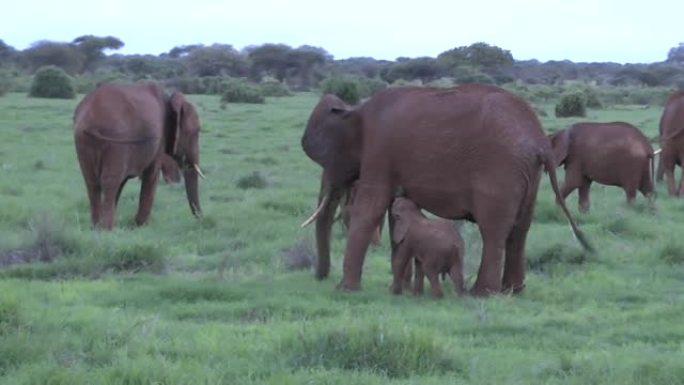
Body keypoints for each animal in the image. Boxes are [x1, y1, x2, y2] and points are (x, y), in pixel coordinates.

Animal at [74, 82, 206, 228]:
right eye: (195, 132)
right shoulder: (159, 140)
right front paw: (140, 225)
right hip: (115, 140)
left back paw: (96, 227)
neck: (170, 98)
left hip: (82, 140)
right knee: (110, 181)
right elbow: (151, 176)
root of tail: (91, 119)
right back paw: (106, 229)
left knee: (91, 182)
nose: (201, 218)